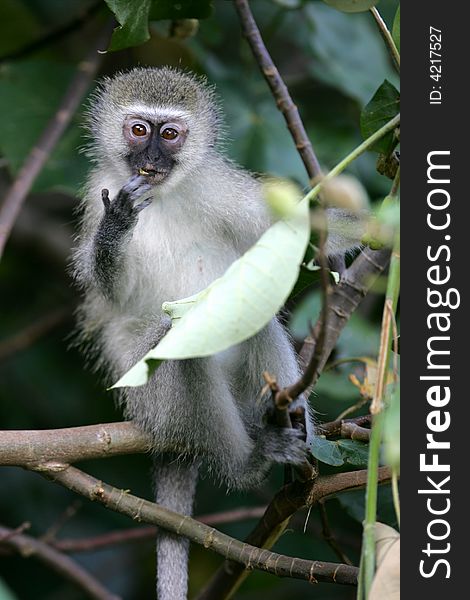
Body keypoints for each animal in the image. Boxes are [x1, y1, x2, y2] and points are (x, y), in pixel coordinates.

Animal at [72, 67, 360, 600]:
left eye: (170, 134)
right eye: (138, 130)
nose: (151, 158)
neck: (163, 196)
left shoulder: (222, 187)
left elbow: (306, 229)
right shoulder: (97, 191)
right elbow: (111, 289)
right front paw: (117, 225)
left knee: (249, 314)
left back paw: (294, 431)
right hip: (156, 402)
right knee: (179, 345)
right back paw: (251, 461)